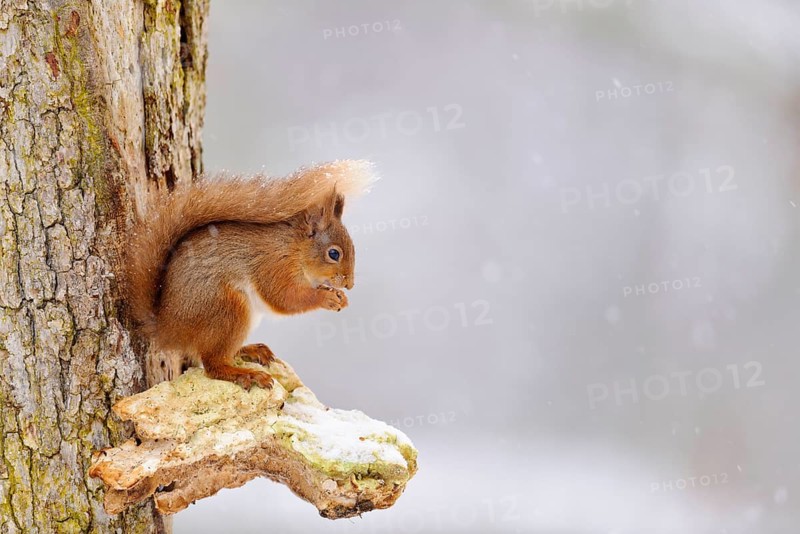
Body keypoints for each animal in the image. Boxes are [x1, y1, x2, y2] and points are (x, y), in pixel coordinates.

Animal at [126, 160, 375, 390]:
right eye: (334, 253)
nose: (350, 284)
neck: (295, 248)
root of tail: (167, 328)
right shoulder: (274, 265)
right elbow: (285, 299)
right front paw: (327, 298)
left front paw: (341, 297)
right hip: (227, 310)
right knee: (213, 364)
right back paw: (245, 374)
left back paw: (250, 350)